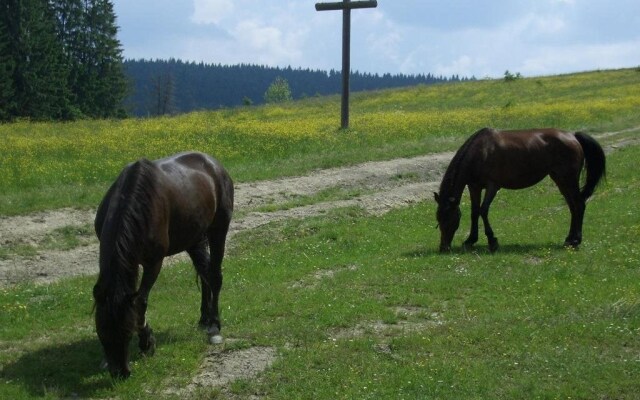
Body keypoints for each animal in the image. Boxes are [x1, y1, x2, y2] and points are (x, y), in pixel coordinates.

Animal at [94, 151, 234, 378]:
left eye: (127, 331)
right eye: (101, 331)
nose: (121, 373)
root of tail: (214, 164)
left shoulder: (153, 263)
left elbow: (140, 301)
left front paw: (146, 343)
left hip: (218, 230)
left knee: (214, 276)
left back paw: (214, 325)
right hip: (194, 238)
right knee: (204, 274)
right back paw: (204, 319)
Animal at [436, 127, 604, 253]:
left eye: (449, 219)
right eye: (438, 219)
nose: (443, 247)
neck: (480, 152)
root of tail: (573, 136)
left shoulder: (492, 186)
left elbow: (483, 210)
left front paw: (492, 241)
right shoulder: (474, 187)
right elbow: (474, 212)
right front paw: (470, 240)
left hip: (568, 180)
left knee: (579, 205)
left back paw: (575, 241)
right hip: (561, 180)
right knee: (573, 207)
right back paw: (569, 239)